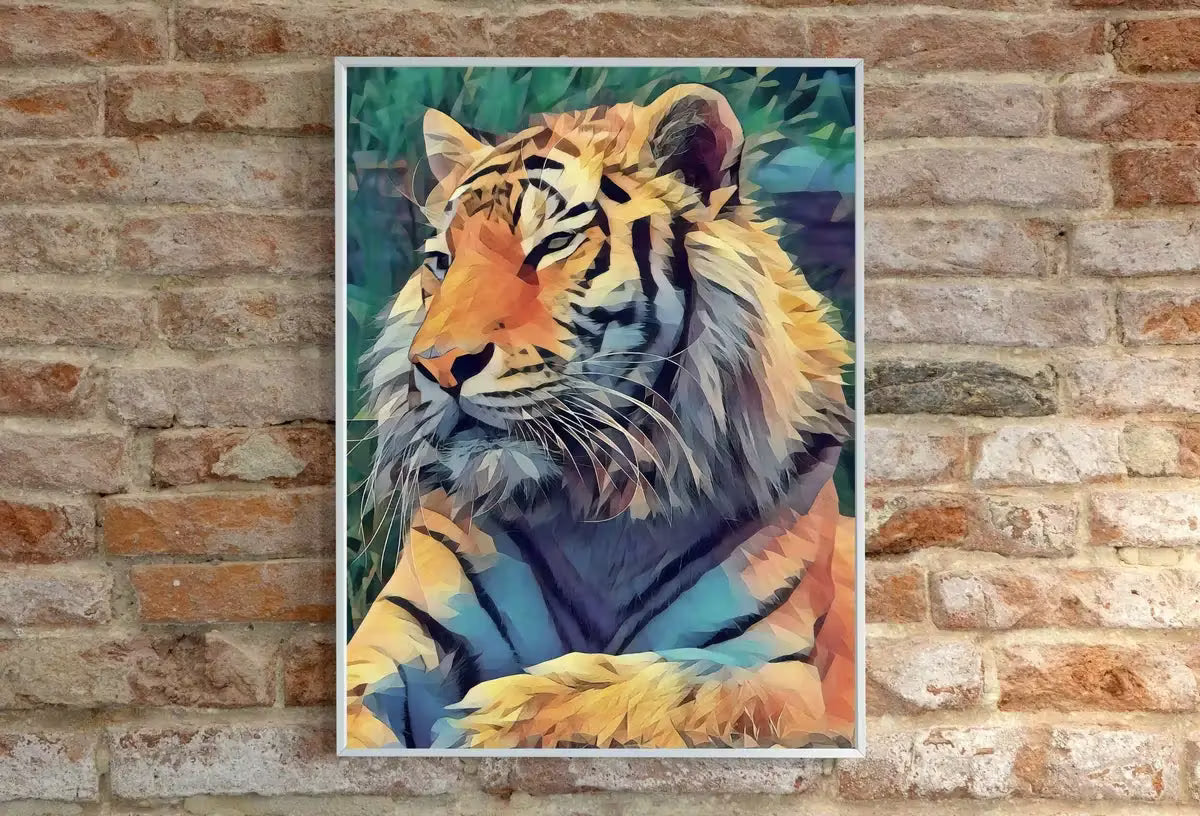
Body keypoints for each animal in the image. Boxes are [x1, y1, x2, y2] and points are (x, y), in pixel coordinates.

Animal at [345, 82, 857, 750]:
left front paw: (481, 726)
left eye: (552, 245)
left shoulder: (777, 673)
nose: (436, 365)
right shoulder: (399, 633)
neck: (599, 510)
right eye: (441, 262)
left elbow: (663, 687)